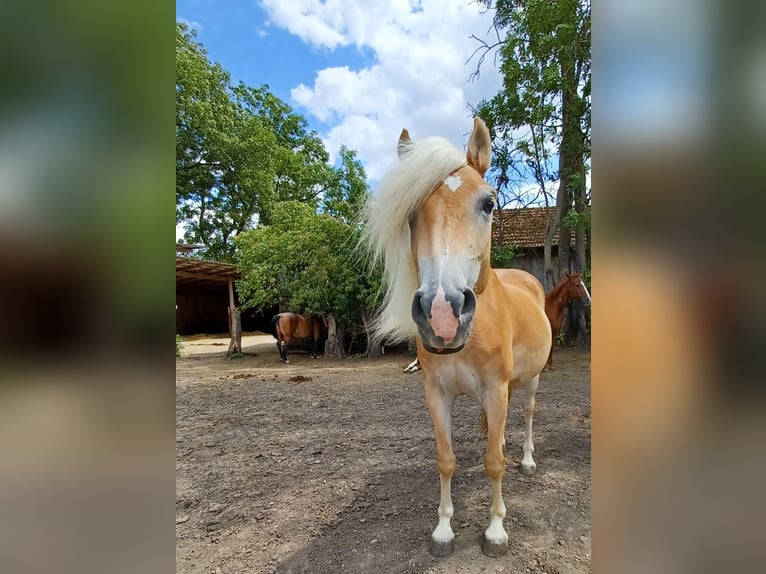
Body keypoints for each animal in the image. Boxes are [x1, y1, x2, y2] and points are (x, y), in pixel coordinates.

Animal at [364, 119, 552, 560]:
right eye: (411, 212)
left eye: (488, 203)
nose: (442, 312)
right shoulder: (437, 394)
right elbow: (446, 460)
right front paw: (443, 531)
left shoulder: (496, 390)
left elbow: (494, 462)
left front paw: (496, 531)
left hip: (531, 380)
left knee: (528, 414)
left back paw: (528, 459)